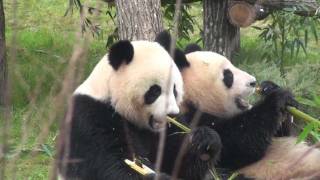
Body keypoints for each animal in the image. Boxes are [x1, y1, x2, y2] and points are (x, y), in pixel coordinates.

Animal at [172, 44, 320, 180]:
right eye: (228, 75)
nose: (253, 82)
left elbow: (281, 133)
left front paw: (271, 88)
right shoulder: (190, 123)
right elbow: (240, 144)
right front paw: (277, 98)